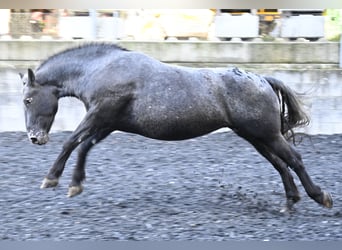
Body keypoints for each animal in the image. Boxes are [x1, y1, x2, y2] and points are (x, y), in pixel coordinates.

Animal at [20, 43, 332, 211]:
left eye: (27, 99)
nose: (35, 138)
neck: (101, 69)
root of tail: (264, 80)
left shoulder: (100, 115)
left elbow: (71, 141)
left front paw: (52, 179)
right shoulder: (107, 122)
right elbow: (84, 146)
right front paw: (75, 184)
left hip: (266, 134)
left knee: (294, 159)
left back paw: (320, 196)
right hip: (255, 137)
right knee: (281, 164)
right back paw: (290, 202)